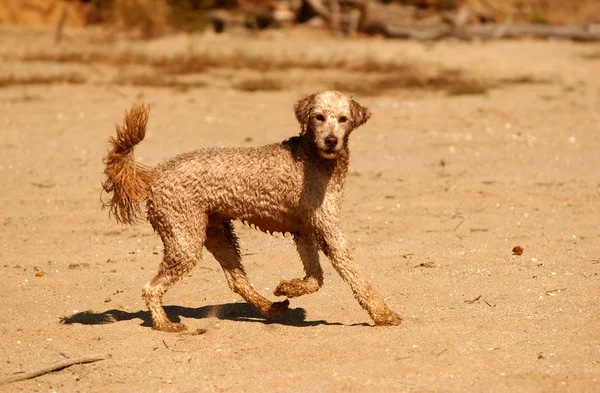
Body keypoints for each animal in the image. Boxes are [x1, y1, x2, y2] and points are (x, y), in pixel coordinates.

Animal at [102, 91, 404, 330]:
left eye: (343, 119)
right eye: (319, 117)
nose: (331, 140)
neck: (314, 157)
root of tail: (155, 174)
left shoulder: (305, 230)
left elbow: (315, 278)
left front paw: (288, 287)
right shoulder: (328, 229)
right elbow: (356, 278)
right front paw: (384, 314)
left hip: (218, 234)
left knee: (237, 281)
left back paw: (272, 307)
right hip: (185, 240)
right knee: (151, 288)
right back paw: (165, 324)